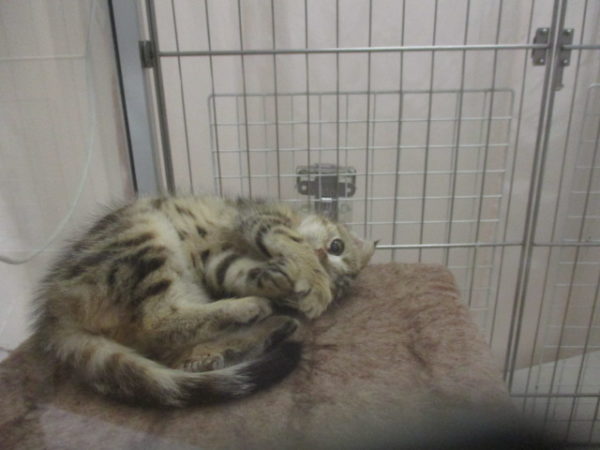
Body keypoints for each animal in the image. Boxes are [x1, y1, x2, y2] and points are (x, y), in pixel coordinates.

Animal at [31, 195, 376, 407]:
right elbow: (289, 240)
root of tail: (54, 311)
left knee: (170, 349)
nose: (323, 258)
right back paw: (250, 309)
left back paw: (264, 327)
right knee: (156, 322)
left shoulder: (219, 262)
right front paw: (312, 281)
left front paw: (281, 283)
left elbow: (240, 271)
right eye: (336, 246)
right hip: (144, 234)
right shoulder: (257, 218)